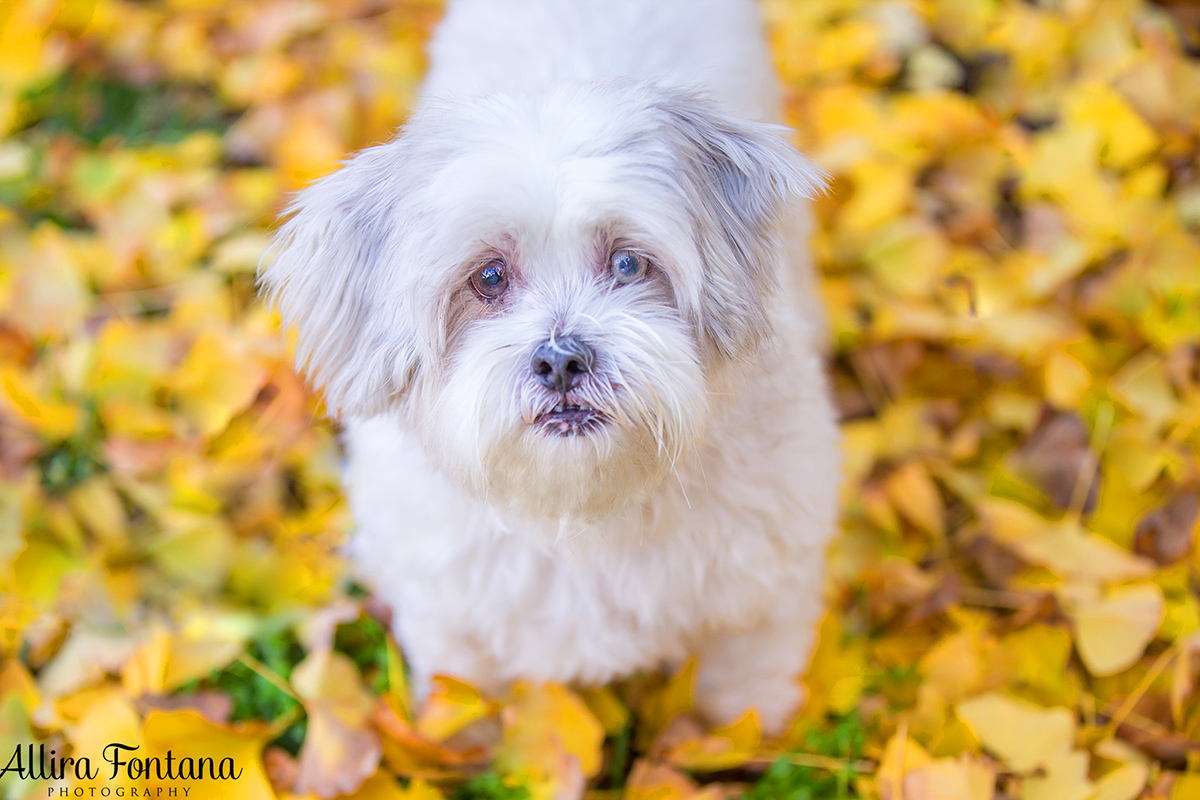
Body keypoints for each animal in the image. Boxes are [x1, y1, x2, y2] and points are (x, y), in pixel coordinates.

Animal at [265, 0, 844, 734]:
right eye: (488, 278)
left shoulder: (762, 599)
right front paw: (465, 742)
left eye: (627, 263)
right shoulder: (448, 613)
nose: (563, 359)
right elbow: (465, 696)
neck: (581, 508)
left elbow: (738, 698)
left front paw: (737, 746)